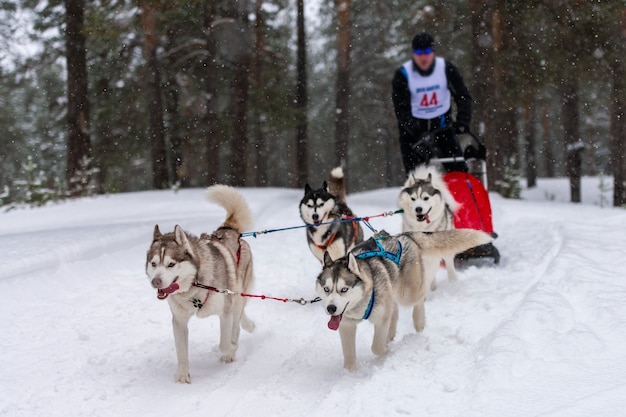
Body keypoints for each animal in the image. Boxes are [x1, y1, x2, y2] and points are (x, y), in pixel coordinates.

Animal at [146, 185, 254, 384]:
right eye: (154, 264)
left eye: (171, 264)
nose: (155, 281)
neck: (194, 287)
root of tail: (229, 230)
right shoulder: (179, 321)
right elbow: (181, 353)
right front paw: (182, 376)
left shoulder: (225, 312)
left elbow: (224, 343)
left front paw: (230, 350)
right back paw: (248, 325)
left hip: (237, 292)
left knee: (237, 317)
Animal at [316, 229, 492, 368]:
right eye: (326, 289)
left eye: (344, 289)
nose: (331, 308)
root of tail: (405, 235)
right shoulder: (346, 325)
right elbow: (349, 357)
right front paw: (351, 373)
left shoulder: (380, 318)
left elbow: (376, 347)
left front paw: (386, 351)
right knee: (394, 310)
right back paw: (391, 334)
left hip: (406, 293)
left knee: (419, 296)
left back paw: (419, 321)